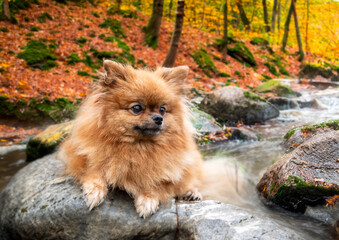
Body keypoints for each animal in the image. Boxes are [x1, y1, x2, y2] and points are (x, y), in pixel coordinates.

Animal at [58, 60, 205, 218]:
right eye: (137, 108)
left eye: (162, 110)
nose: (158, 118)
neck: (136, 148)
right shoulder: (84, 157)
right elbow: (94, 171)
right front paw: (94, 191)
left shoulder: (166, 171)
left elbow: (155, 182)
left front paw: (147, 199)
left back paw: (191, 193)